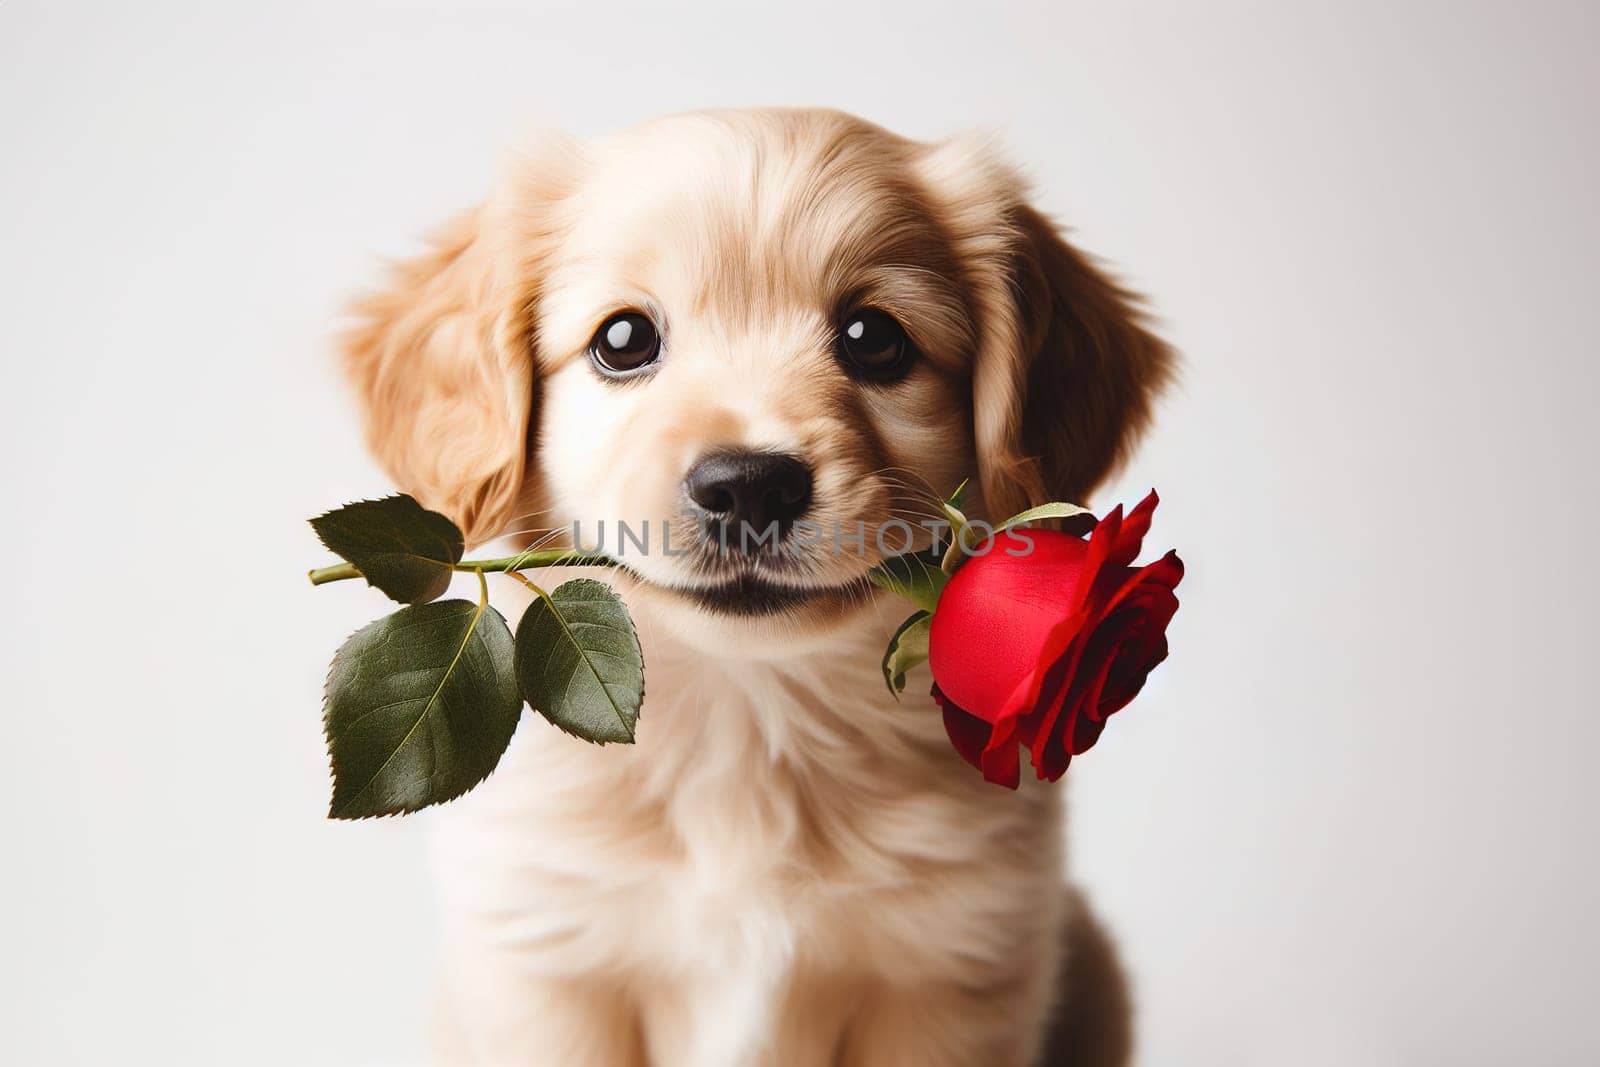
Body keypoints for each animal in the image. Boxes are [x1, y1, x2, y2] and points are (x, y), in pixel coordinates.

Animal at [340, 110, 1164, 1067]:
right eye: (623, 340)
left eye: (873, 338)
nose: (749, 486)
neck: (747, 721)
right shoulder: (547, 964)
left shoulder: (952, 970)